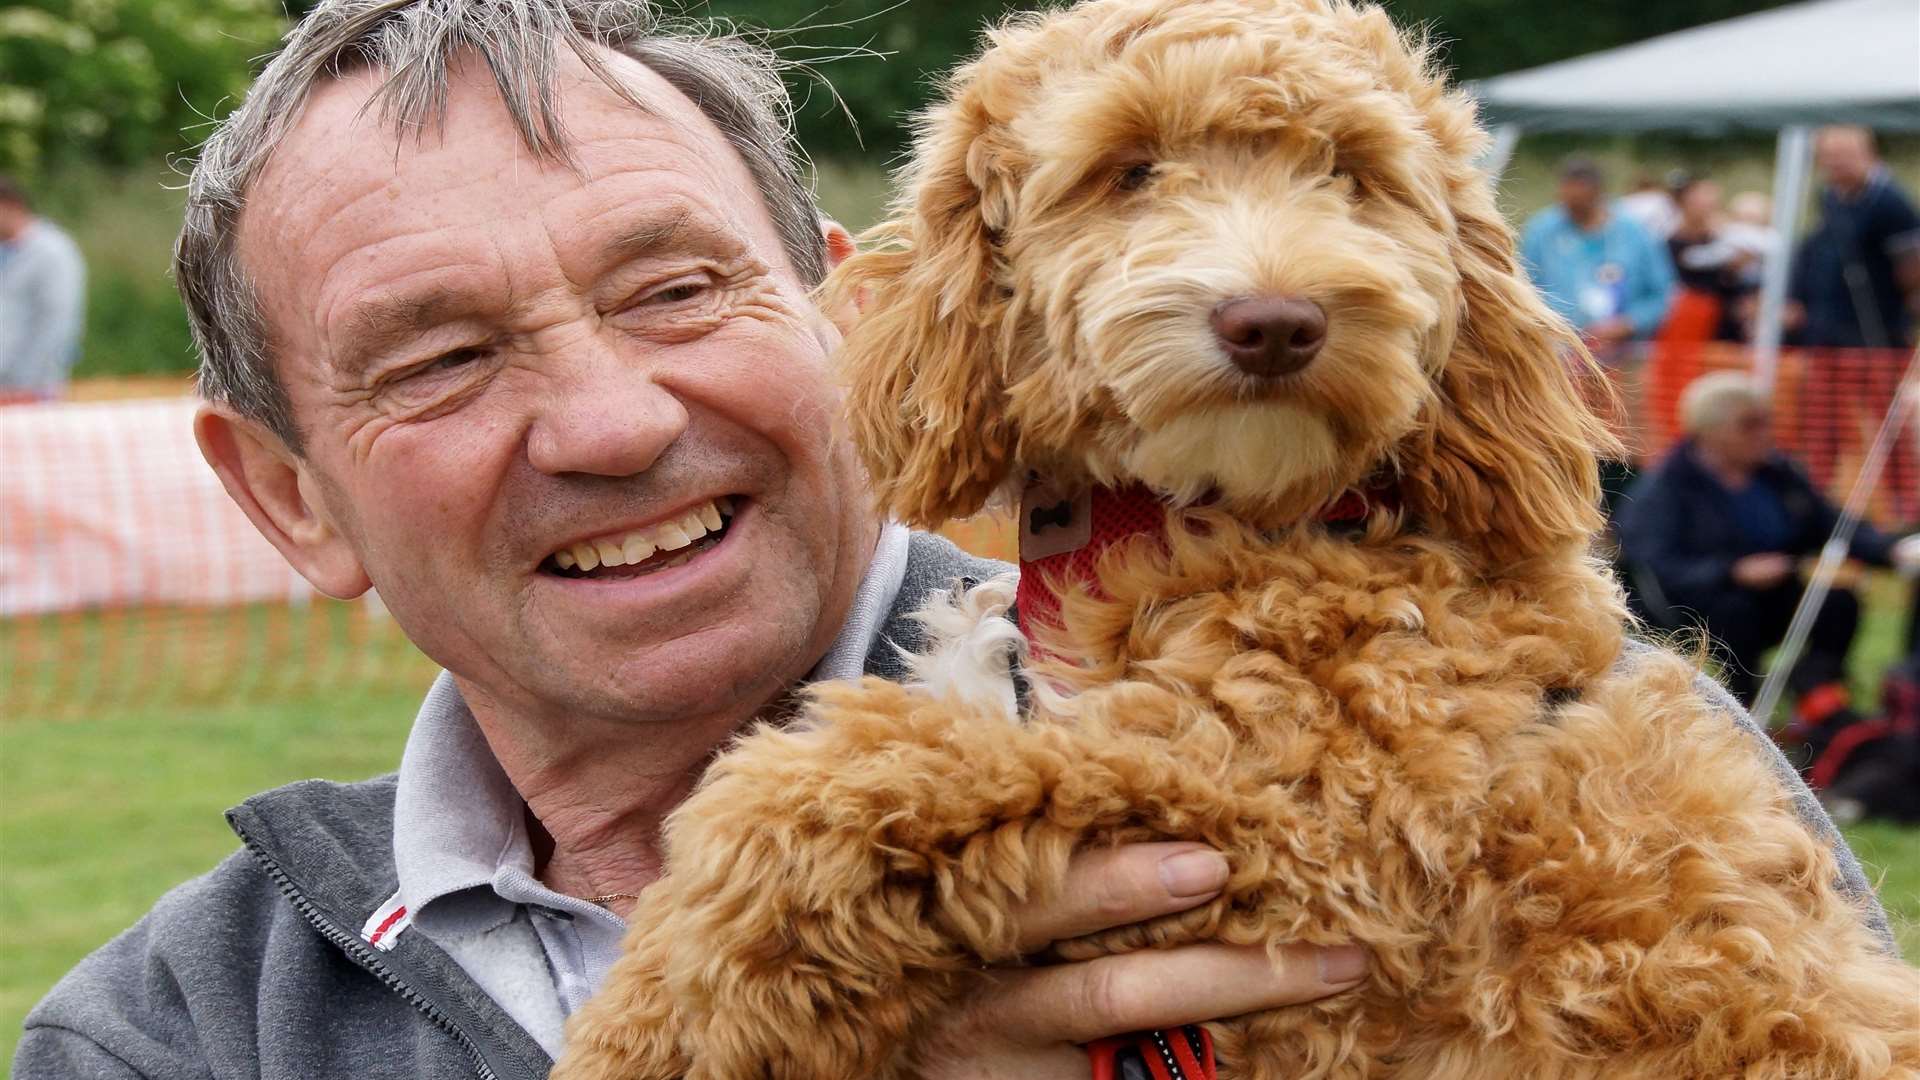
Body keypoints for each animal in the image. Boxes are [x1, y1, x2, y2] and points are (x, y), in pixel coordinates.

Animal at [556, 2, 1920, 1076]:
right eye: (1129, 169)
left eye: (1354, 173)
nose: (1277, 321)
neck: (1200, 520)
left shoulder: (1291, 836)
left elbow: (837, 785)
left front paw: (640, 1025)